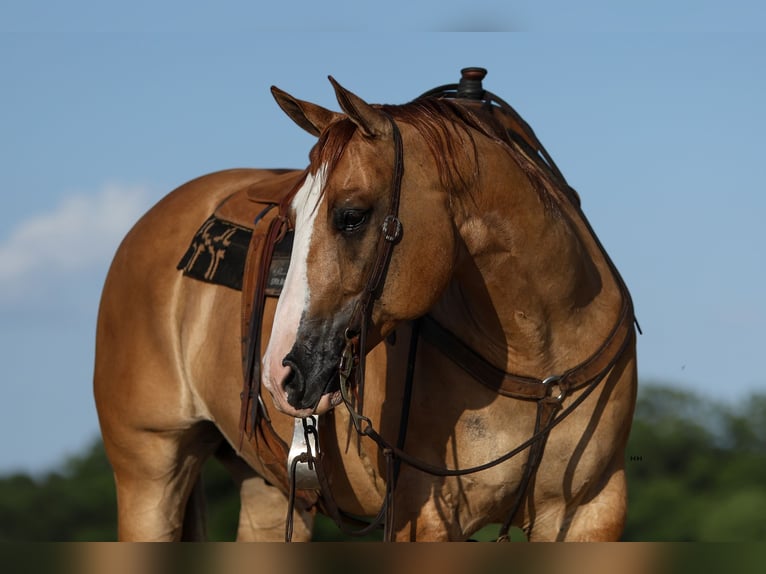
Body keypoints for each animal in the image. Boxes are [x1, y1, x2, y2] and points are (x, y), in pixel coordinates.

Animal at [93, 70, 640, 544]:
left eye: (351, 216)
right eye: (292, 217)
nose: (278, 373)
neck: (543, 358)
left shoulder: (590, 511)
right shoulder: (426, 518)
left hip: (266, 491)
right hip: (150, 474)